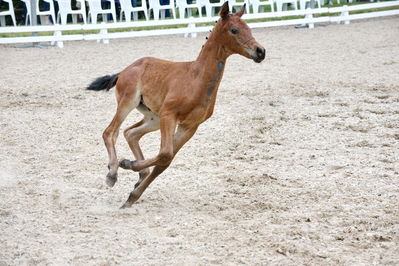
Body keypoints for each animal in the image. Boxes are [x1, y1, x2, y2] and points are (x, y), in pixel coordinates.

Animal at [87, 2, 266, 209]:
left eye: (249, 28)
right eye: (234, 30)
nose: (260, 51)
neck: (196, 79)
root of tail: (125, 69)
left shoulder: (189, 126)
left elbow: (166, 160)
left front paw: (132, 195)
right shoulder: (169, 115)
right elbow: (165, 153)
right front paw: (126, 165)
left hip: (153, 118)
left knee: (130, 133)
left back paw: (139, 175)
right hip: (129, 102)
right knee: (110, 132)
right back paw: (112, 173)